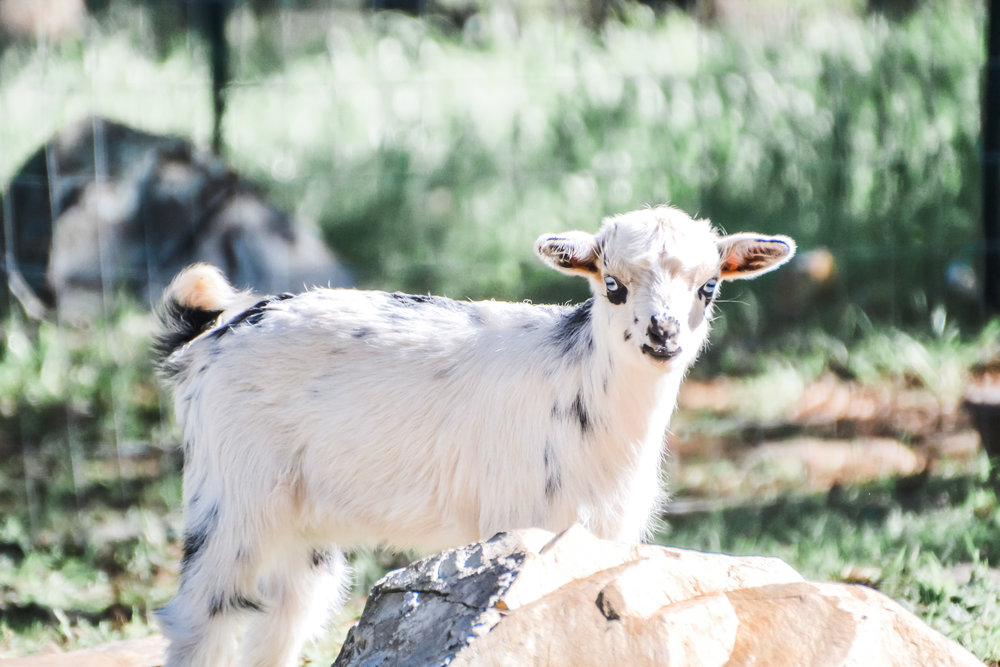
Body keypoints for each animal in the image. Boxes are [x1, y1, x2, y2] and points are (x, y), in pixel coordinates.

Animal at [154, 205, 796, 667]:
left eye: (708, 288)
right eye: (612, 284)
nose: (663, 334)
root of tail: (209, 339)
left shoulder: (608, 534)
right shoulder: (523, 525)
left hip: (302, 527)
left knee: (281, 621)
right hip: (230, 498)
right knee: (202, 621)